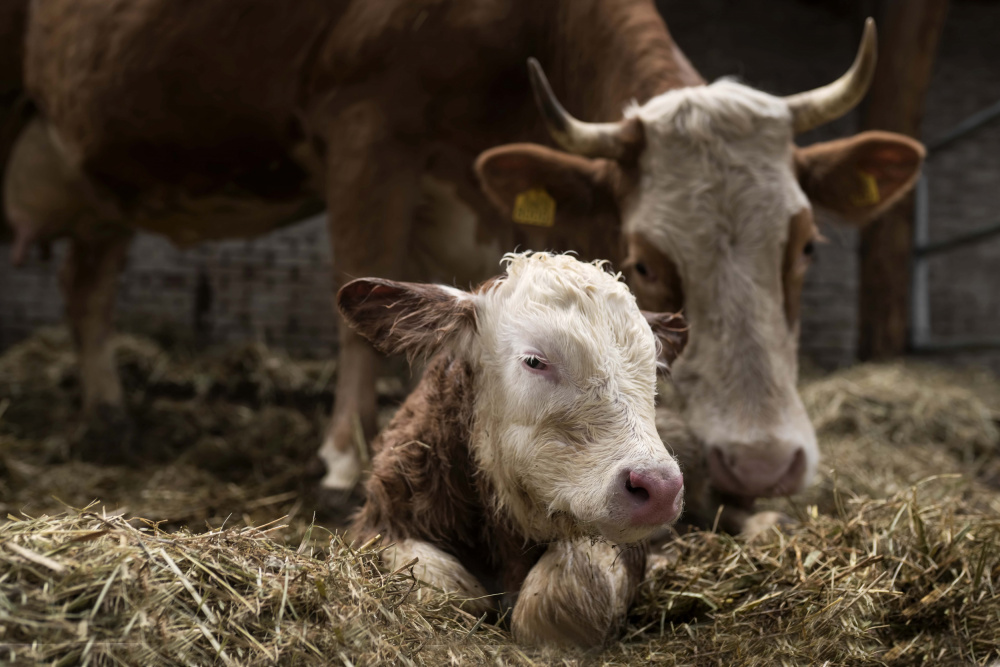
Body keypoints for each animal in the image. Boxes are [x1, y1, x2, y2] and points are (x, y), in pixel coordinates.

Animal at [3, 0, 920, 528]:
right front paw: (342, 462)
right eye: (645, 259)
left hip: (104, 173)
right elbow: (361, 295)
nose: (763, 465)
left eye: (807, 244)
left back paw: (108, 412)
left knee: (88, 285)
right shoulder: (367, 120)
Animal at [338, 254, 688, 648]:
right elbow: (447, 589)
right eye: (535, 361)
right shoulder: (379, 521)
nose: (660, 487)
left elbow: (553, 602)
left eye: (652, 367)